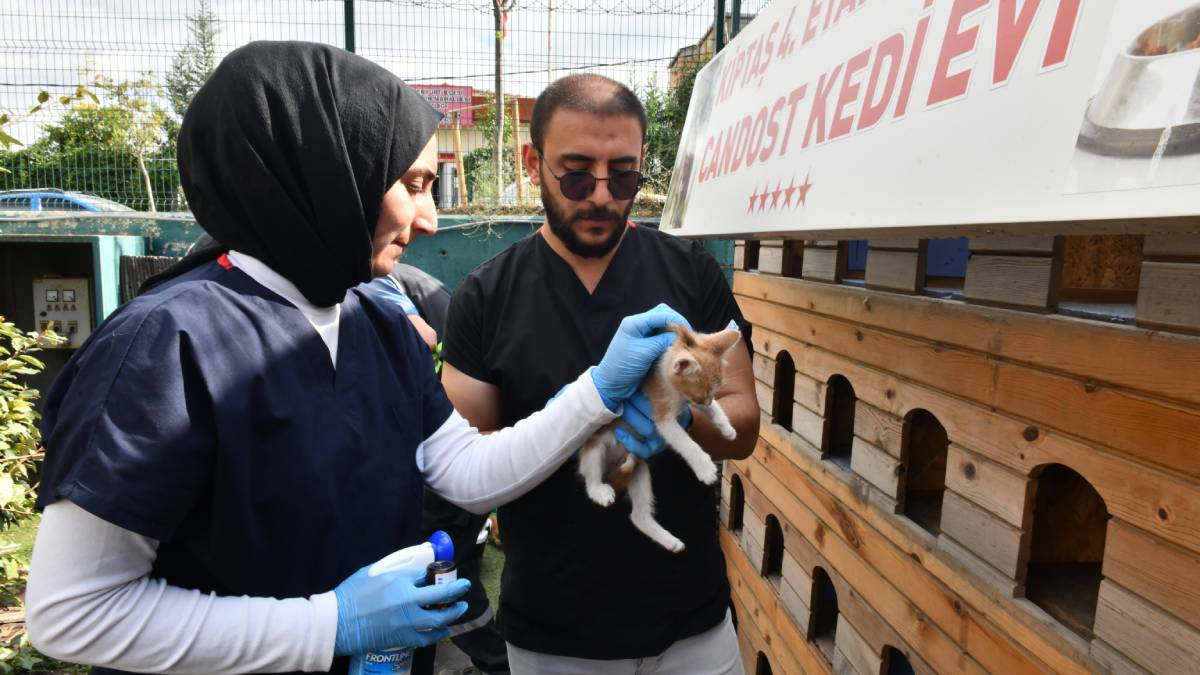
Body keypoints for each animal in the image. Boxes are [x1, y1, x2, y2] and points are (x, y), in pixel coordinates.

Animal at [578, 321, 739, 552]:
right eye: (703, 394)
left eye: (712, 393)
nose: (706, 401)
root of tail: (613, 469)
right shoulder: (663, 418)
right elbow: (686, 443)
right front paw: (705, 468)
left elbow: (715, 410)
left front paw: (726, 427)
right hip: (595, 448)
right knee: (591, 479)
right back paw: (599, 491)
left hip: (639, 469)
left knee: (638, 516)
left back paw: (670, 541)